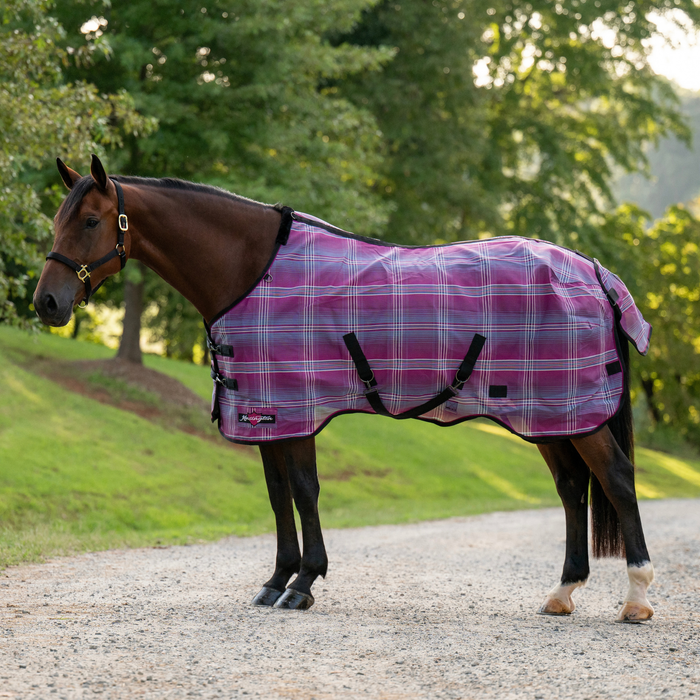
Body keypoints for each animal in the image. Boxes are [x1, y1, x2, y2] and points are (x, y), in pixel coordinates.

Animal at [33, 155, 655, 621]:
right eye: (59, 219)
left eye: (91, 221)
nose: (47, 303)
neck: (251, 270)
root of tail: (595, 270)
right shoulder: (266, 414)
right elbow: (278, 495)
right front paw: (276, 579)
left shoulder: (296, 410)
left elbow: (305, 491)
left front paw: (303, 584)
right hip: (550, 416)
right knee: (573, 489)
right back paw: (562, 593)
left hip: (576, 414)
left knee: (617, 480)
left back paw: (637, 599)